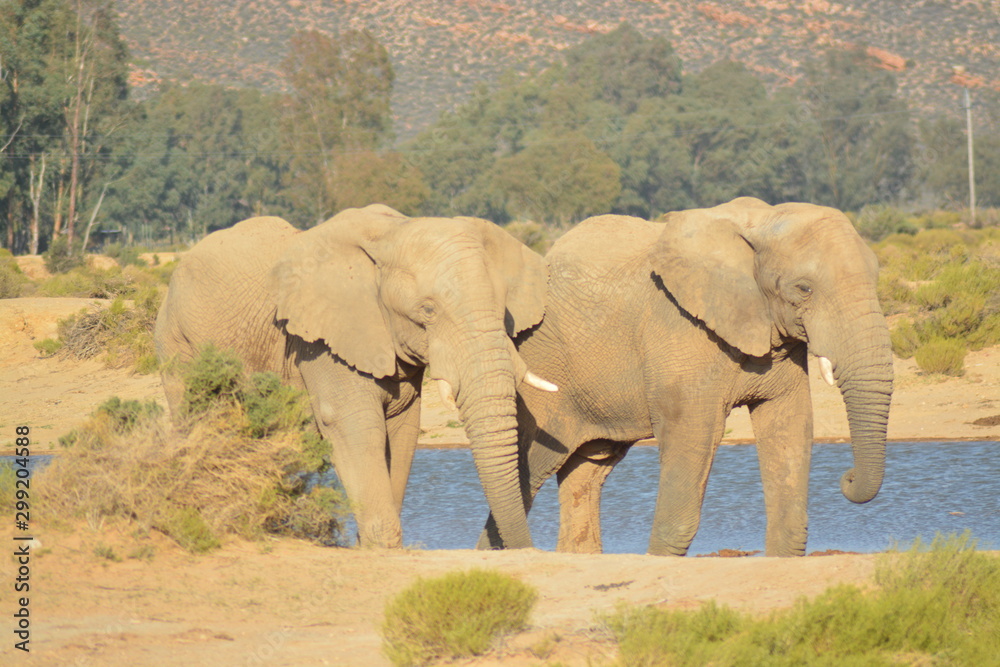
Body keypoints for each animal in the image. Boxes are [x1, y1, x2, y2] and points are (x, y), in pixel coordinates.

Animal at [154, 204, 557, 549]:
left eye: (503, 310)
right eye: (427, 311)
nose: (526, 549)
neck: (391, 233)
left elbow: (401, 430)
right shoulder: (320, 342)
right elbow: (353, 426)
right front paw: (381, 547)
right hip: (177, 343)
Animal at [479, 197, 893, 557]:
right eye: (803, 289)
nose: (847, 478)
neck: (762, 221)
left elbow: (789, 424)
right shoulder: (680, 331)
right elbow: (692, 433)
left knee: (588, 470)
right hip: (545, 372)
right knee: (528, 468)